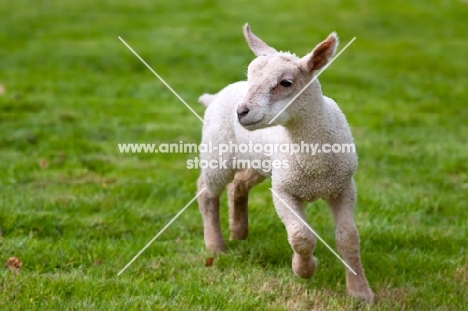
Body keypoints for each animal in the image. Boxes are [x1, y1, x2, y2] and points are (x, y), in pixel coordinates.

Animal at [196, 24, 374, 304]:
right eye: (250, 75)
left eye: (286, 82)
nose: (241, 112)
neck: (315, 164)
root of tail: (215, 96)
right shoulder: (283, 190)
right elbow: (301, 237)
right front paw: (304, 269)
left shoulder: (344, 186)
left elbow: (348, 237)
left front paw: (360, 292)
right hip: (217, 153)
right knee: (206, 191)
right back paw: (216, 245)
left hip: (259, 162)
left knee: (238, 184)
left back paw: (239, 232)